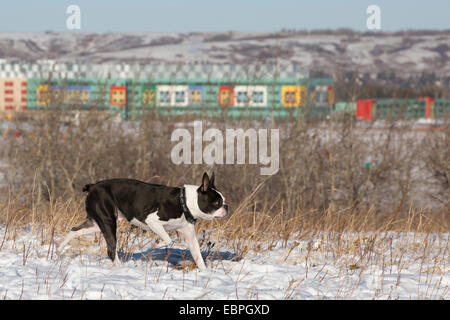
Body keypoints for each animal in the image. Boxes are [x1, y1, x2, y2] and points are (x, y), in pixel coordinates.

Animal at [57, 172, 229, 270]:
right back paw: (121, 269)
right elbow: (168, 239)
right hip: (108, 222)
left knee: (74, 230)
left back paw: (59, 249)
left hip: (97, 222)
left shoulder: (189, 235)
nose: (226, 207)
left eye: (223, 200)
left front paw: (204, 273)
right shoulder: (152, 220)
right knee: (111, 249)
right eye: (216, 203)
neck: (184, 202)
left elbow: (198, 256)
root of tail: (92, 187)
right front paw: (157, 244)